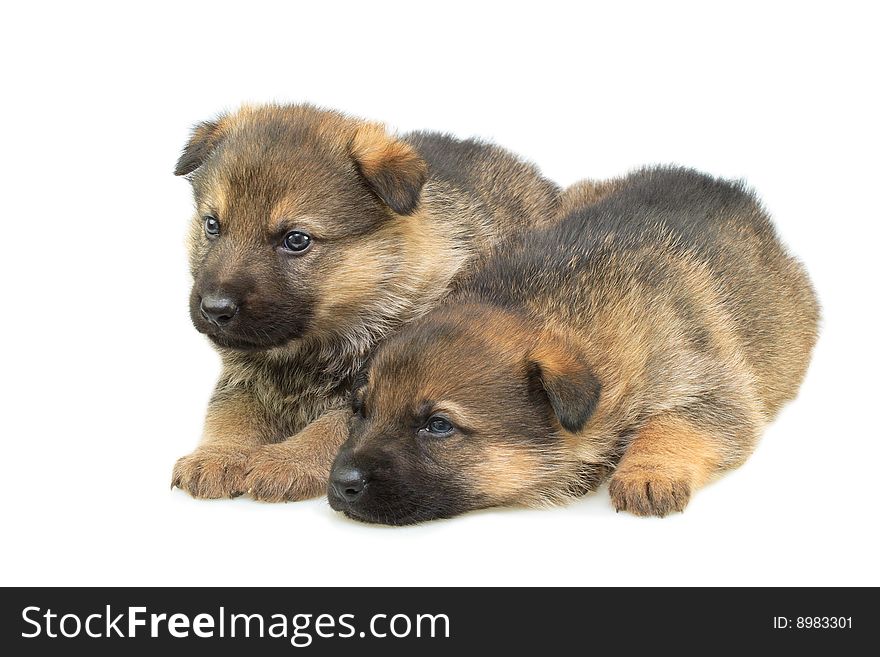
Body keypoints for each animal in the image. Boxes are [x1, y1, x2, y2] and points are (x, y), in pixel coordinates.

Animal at [170, 105, 556, 500]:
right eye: (212, 225)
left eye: (296, 240)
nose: (214, 309)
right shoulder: (243, 377)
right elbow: (228, 413)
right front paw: (217, 455)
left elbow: (332, 426)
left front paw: (285, 461)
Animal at [330, 165, 820, 524]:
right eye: (360, 410)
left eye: (438, 425)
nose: (339, 483)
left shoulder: (711, 384)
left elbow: (678, 424)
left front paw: (647, 472)